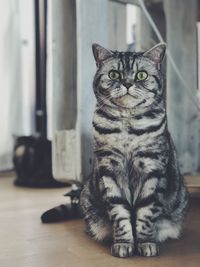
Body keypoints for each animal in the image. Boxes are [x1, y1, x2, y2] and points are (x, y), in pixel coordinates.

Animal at [79, 43, 189, 258]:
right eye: (114, 74)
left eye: (141, 75)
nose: (128, 84)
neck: (127, 123)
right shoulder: (110, 169)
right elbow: (119, 212)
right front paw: (123, 243)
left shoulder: (151, 167)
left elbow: (145, 212)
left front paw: (145, 242)